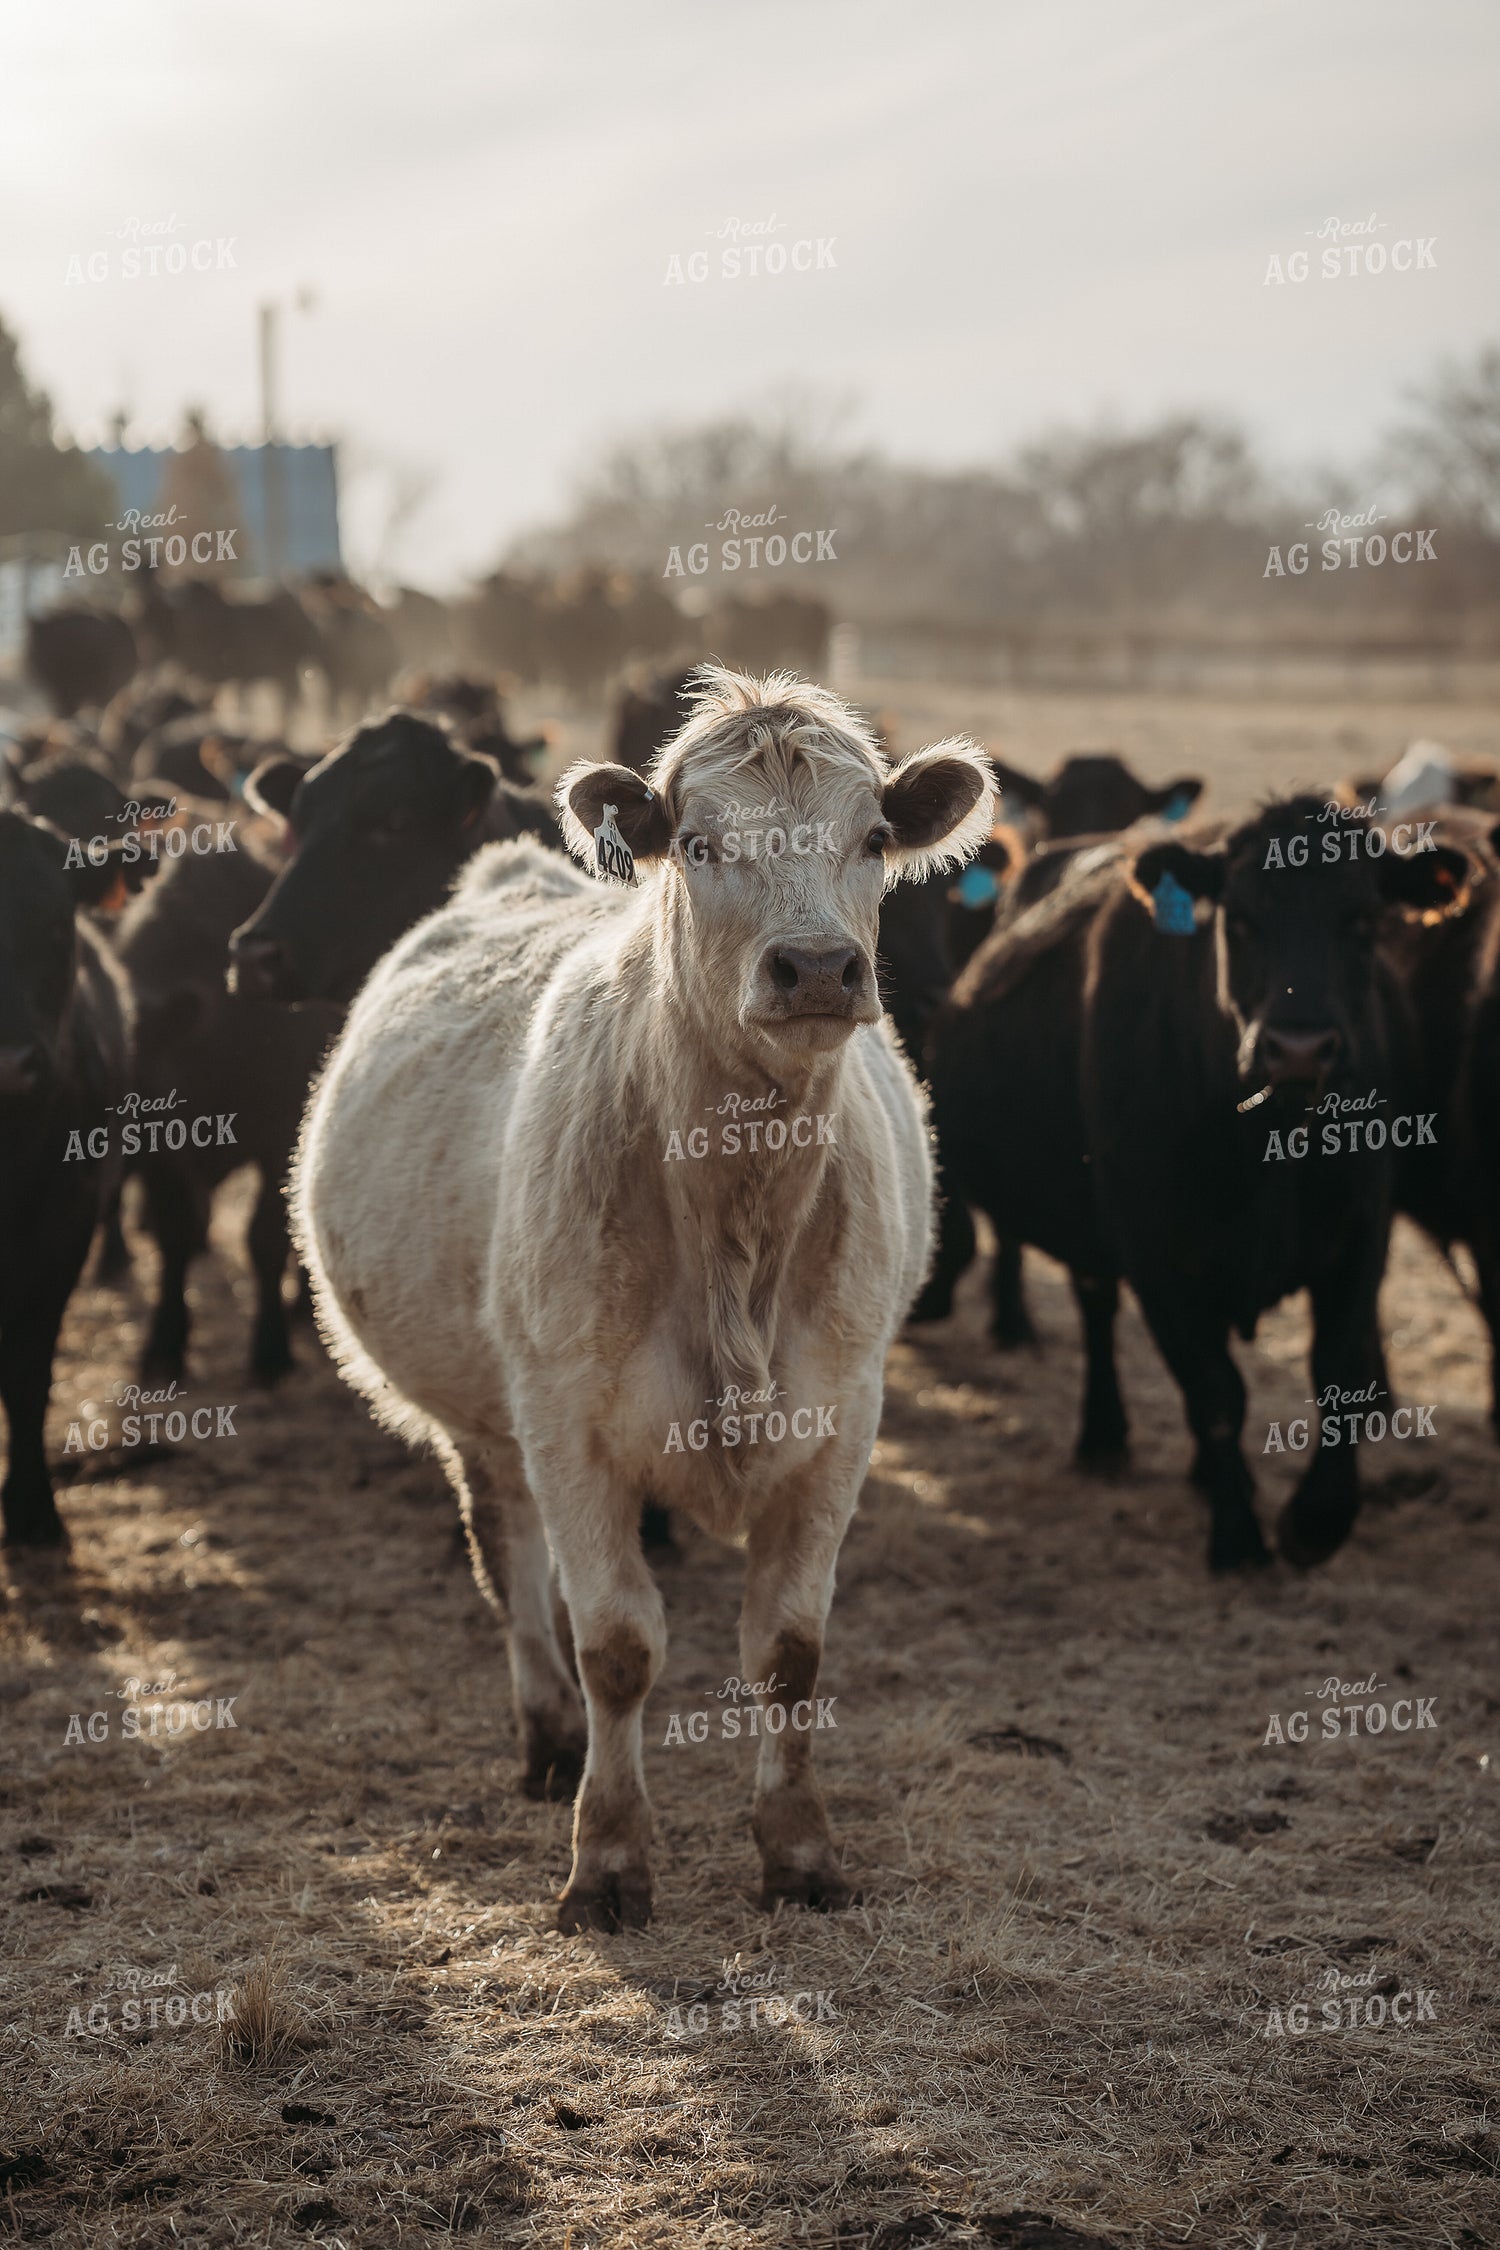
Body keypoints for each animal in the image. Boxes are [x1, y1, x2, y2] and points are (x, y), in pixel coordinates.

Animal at [113, 845, 339, 1384]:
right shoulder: (160, 1162)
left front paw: (271, 1350)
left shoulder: (280, 1138)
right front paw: (165, 1343)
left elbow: (265, 1240)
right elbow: (175, 1235)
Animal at [288, 667, 994, 1926]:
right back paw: (550, 1734)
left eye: (872, 837)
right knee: (513, 1559)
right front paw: (609, 1858)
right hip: (487, 1414)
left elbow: (789, 1651)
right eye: (700, 843)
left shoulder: (842, 1419)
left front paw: (798, 1849)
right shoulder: (567, 1420)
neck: (736, 1221)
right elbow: (617, 1642)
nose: (819, 968)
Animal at [928, 796, 1469, 1572]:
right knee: (1098, 1308)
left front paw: (1315, 1521)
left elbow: (1338, 1370)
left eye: (1363, 918)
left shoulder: (1361, 1230)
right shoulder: (1155, 1249)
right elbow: (1216, 1393)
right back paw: (1106, 1437)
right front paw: (1238, 1537)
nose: (1297, 1048)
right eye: (1237, 919)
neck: (1267, 1146)